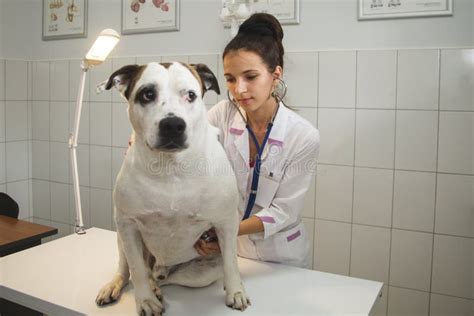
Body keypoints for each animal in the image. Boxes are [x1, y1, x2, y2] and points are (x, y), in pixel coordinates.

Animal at [94, 62, 250, 316]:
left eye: (191, 95)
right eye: (147, 94)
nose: (172, 124)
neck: (171, 169)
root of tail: (161, 266)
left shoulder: (226, 223)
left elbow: (231, 263)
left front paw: (236, 291)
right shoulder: (127, 225)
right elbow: (136, 270)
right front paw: (145, 301)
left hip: (203, 271)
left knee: (166, 278)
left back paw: (158, 286)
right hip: (122, 239)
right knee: (130, 270)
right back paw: (119, 287)